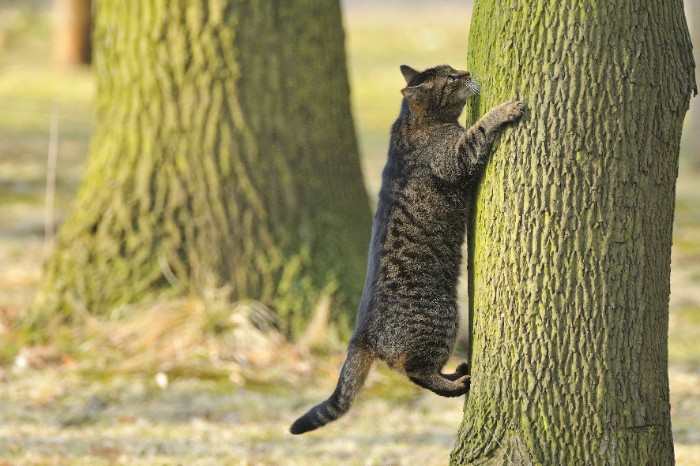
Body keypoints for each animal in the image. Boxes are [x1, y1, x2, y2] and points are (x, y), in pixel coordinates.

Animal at [290, 63, 524, 436]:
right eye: (451, 79)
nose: (465, 71)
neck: (412, 123)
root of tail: (362, 332)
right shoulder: (456, 158)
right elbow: (480, 129)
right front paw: (504, 110)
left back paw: (456, 373)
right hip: (443, 319)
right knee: (415, 372)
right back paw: (456, 384)